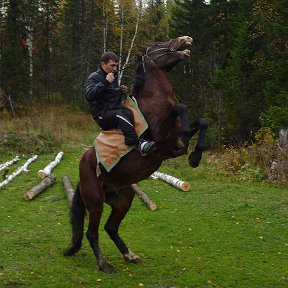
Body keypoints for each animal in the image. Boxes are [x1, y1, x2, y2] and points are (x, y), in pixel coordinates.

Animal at [63, 36, 207, 272]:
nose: (185, 39)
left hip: (123, 199)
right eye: (158, 44)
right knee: (92, 233)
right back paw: (104, 265)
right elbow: (181, 108)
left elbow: (201, 121)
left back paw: (129, 255)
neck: (155, 97)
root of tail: (83, 171)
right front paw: (185, 142)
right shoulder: (161, 134)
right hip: (95, 201)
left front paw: (195, 156)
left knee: (111, 227)